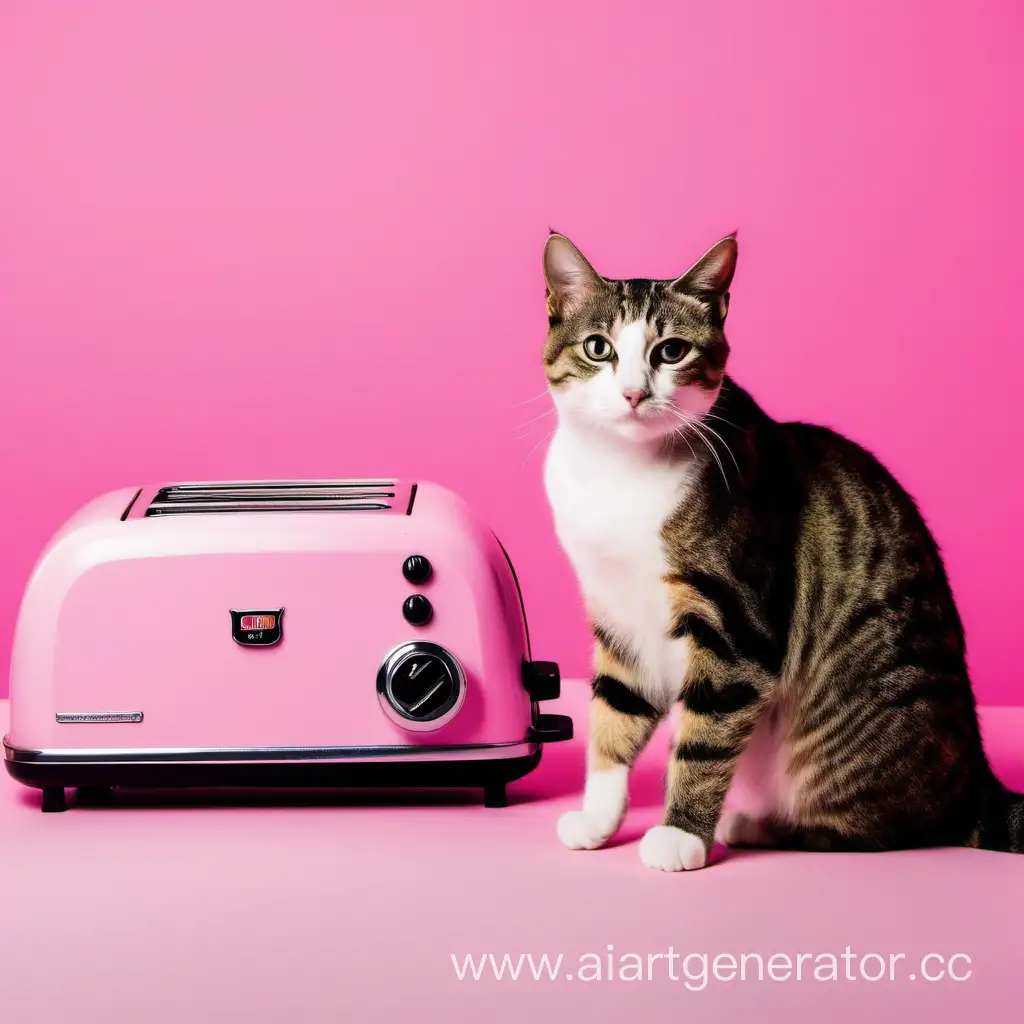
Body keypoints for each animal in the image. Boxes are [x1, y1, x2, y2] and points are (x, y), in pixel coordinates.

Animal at [540, 232, 1019, 872]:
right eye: (598, 348)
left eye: (671, 351)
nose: (634, 393)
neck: (620, 473)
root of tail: (973, 782)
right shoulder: (616, 615)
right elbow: (616, 711)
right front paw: (598, 818)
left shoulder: (738, 615)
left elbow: (708, 728)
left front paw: (681, 834)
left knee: (881, 828)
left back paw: (756, 825)